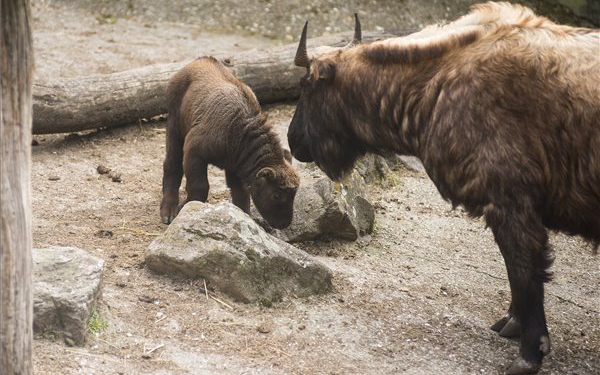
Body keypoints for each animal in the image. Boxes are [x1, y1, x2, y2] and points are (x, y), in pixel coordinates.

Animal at [161, 57, 298, 231]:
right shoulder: (194, 151)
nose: (284, 224)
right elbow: (200, 186)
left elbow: (241, 195)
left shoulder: (235, 167)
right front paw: (185, 208)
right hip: (174, 128)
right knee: (172, 165)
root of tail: (199, 60)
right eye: (276, 195)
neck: (239, 129)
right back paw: (168, 211)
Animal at [288, 2, 600, 374]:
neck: (436, 81)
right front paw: (515, 322)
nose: (292, 141)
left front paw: (530, 352)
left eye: (307, 86)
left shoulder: (511, 204)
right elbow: (515, 271)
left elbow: (524, 271)